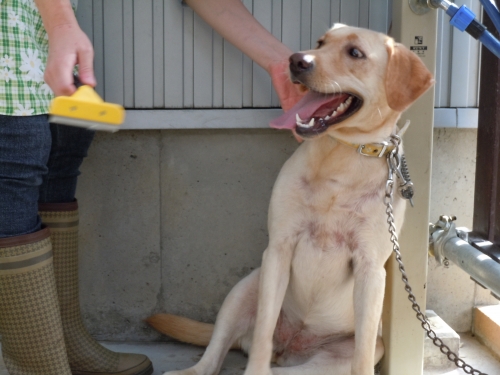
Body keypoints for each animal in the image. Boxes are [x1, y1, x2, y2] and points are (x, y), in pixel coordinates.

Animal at [148, 24, 434, 375]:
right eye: (320, 43)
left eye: (355, 53)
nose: (296, 60)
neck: (339, 160)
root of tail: (290, 348)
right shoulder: (279, 249)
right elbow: (262, 334)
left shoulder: (370, 269)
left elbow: (364, 355)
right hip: (246, 287)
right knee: (218, 351)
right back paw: (194, 369)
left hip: (329, 359)